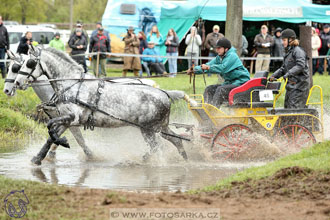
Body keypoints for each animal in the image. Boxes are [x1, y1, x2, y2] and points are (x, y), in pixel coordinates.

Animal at [14, 47, 188, 166]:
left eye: (29, 63)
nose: (16, 83)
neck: (72, 84)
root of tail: (165, 94)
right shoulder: (67, 120)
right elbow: (51, 137)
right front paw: (37, 158)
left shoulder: (71, 117)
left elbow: (50, 127)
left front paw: (63, 142)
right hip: (160, 128)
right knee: (176, 141)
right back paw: (184, 159)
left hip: (149, 130)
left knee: (158, 148)